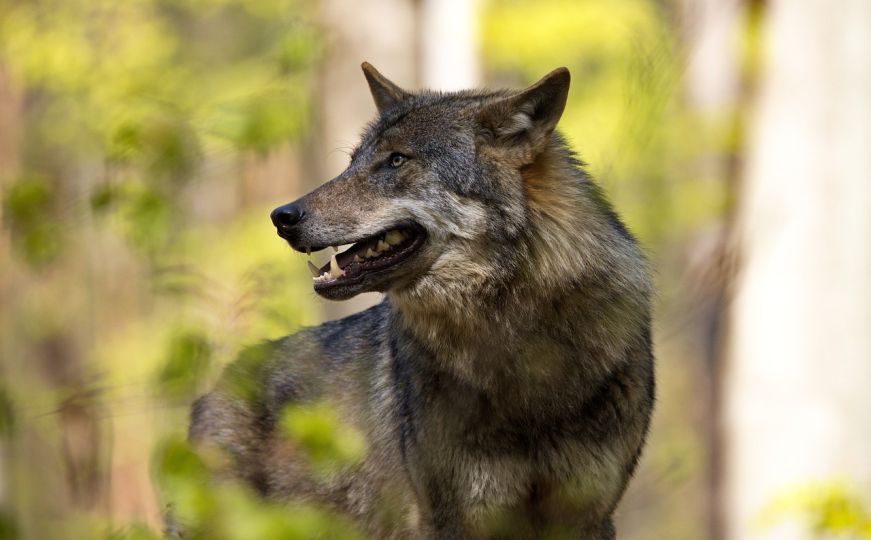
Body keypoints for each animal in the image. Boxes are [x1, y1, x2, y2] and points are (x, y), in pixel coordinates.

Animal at [189, 61, 656, 536]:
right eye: (352, 162)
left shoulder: (587, 516)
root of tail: (219, 384)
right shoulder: (451, 517)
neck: (522, 352)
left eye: (396, 159)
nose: (282, 217)